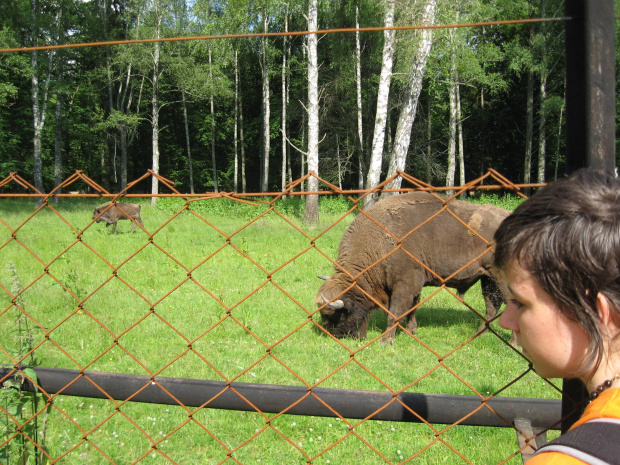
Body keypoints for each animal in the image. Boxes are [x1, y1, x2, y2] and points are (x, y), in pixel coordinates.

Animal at [318, 188, 512, 344]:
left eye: (334, 316)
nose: (335, 336)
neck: (377, 242)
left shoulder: (405, 284)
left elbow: (395, 312)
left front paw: (386, 341)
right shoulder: (415, 284)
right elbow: (412, 308)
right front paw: (411, 331)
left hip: (501, 280)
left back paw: (513, 343)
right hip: (487, 279)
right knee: (491, 307)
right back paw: (479, 335)